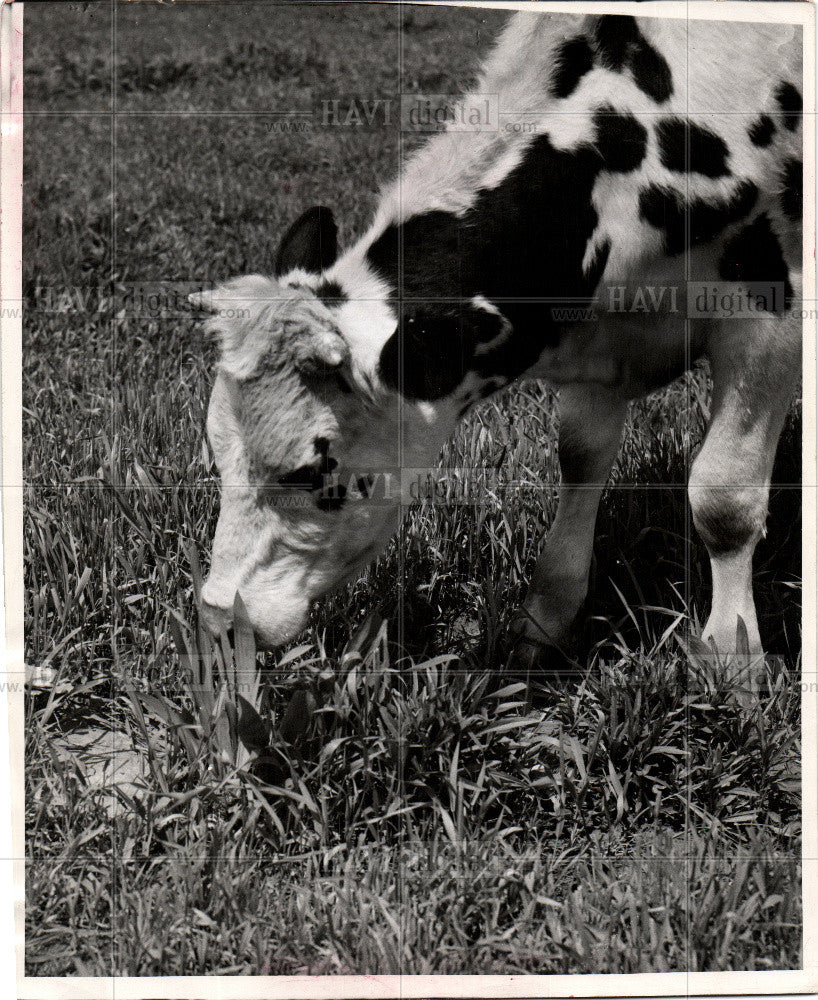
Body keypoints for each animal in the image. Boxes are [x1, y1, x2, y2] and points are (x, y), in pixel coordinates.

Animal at [193, 9, 804, 680]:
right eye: (217, 450)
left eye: (310, 470)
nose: (220, 617)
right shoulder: (598, 350)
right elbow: (581, 461)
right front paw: (546, 622)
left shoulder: (771, 313)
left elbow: (724, 499)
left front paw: (733, 658)